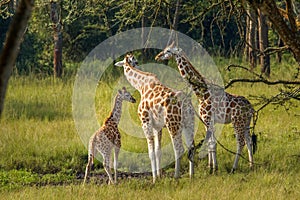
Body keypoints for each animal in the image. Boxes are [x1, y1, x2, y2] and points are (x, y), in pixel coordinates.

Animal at [113, 53, 196, 183]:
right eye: (135, 62)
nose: (135, 64)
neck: (141, 85)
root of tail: (185, 102)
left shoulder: (145, 121)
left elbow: (150, 152)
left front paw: (154, 179)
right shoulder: (158, 126)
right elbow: (158, 151)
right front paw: (159, 176)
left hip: (173, 124)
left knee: (179, 149)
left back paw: (176, 176)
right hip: (189, 122)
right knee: (191, 146)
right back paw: (191, 176)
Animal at [156, 42, 254, 173]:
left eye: (168, 51)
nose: (157, 56)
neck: (201, 93)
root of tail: (251, 107)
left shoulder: (208, 119)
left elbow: (212, 143)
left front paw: (214, 168)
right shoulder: (207, 121)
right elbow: (210, 142)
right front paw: (210, 166)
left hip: (237, 122)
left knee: (241, 142)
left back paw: (234, 168)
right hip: (246, 122)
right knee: (249, 141)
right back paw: (251, 165)